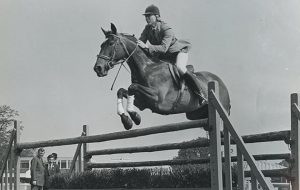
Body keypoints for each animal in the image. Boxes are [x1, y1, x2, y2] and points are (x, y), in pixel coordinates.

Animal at [94, 23, 232, 131]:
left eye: (111, 43)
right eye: (101, 45)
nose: (98, 68)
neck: (146, 68)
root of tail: (221, 83)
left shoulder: (158, 99)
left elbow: (132, 87)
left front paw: (134, 116)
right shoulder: (142, 102)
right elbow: (122, 91)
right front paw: (127, 120)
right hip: (194, 114)